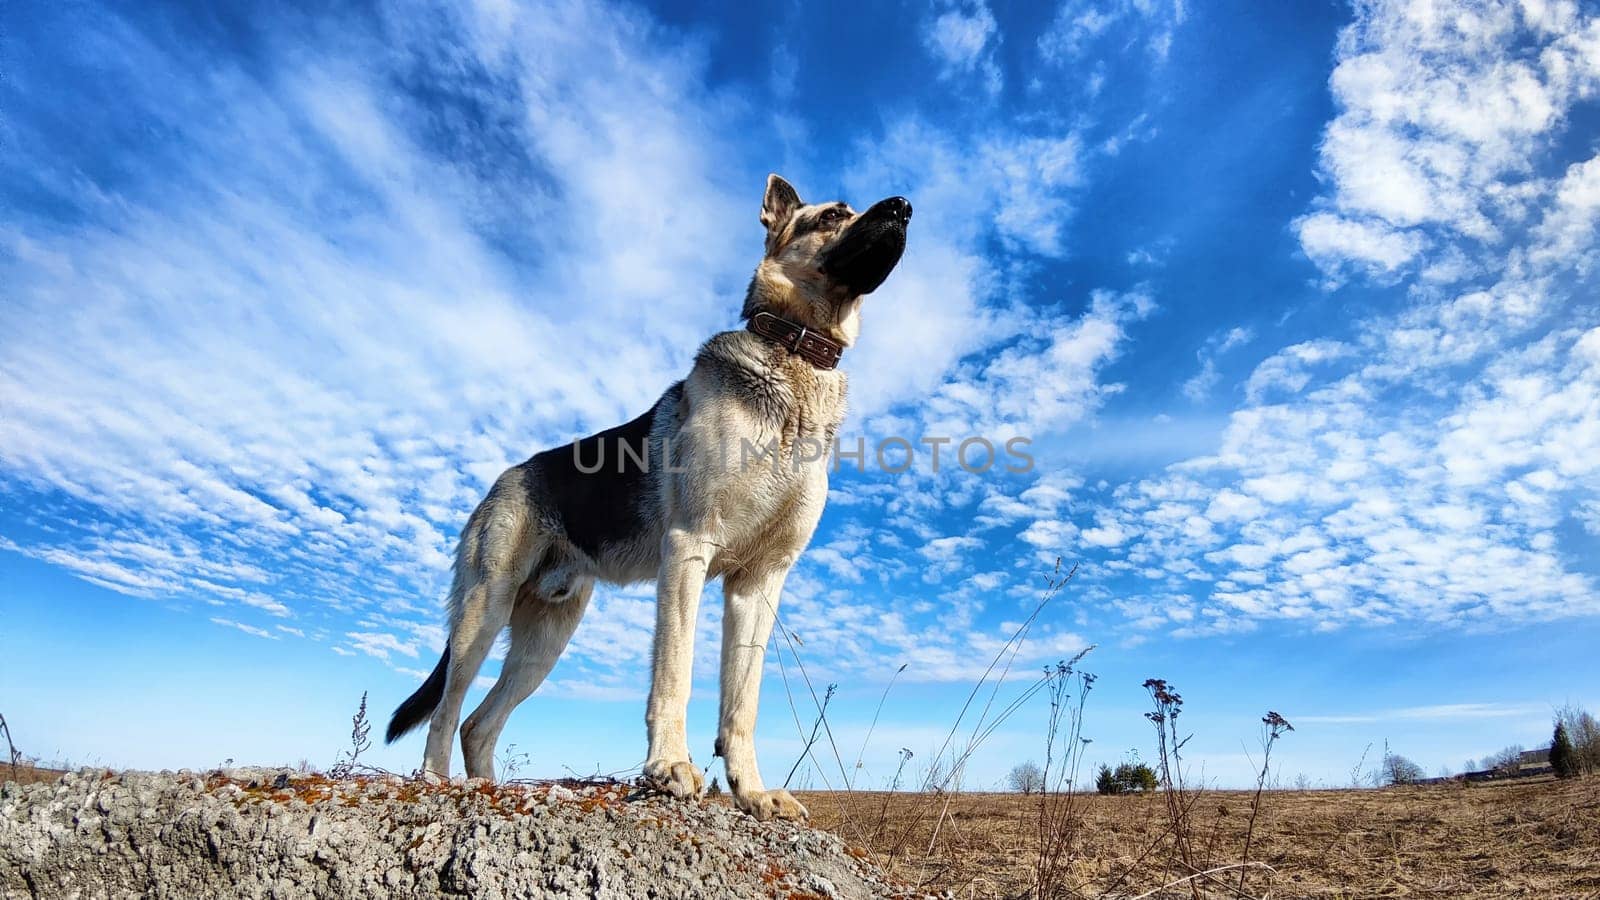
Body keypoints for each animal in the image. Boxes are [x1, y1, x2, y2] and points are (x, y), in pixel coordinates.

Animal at [384, 175, 915, 819]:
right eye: (833, 216)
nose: (904, 207)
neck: (795, 355)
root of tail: (504, 479)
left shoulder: (760, 583)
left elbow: (742, 701)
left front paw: (751, 791)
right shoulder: (688, 552)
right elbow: (675, 673)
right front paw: (668, 767)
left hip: (544, 642)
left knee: (479, 724)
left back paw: (491, 791)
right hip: (483, 616)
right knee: (447, 711)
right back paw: (437, 785)